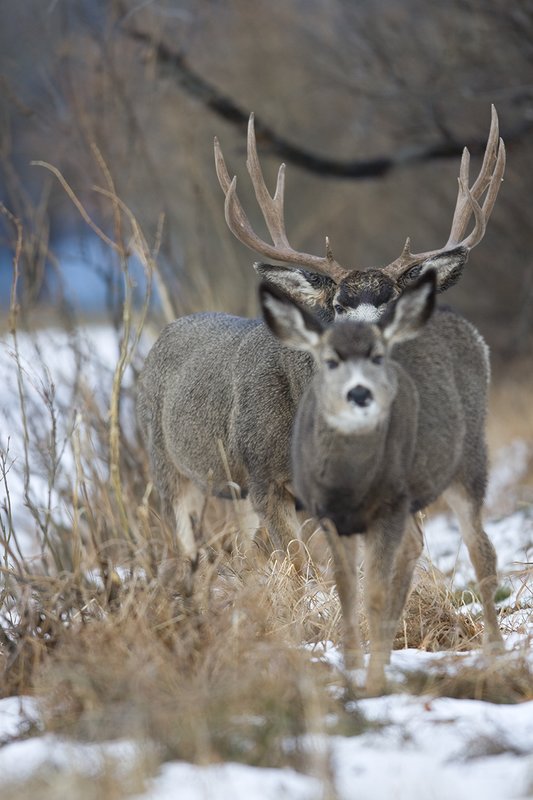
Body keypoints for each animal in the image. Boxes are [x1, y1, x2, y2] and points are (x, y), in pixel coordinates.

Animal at [136, 108, 505, 572]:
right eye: (339, 305)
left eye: (394, 302)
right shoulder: (263, 476)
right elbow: (297, 564)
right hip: (165, 462)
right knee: (186, 545)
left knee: (244, 548)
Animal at [259, 271, 504, 694]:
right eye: (330, 360)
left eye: (377, 357)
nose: (360, 393)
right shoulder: (328, 514)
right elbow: (345, 585)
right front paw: (352, 665)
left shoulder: (388, 507)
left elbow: (373, 590)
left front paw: (372, 682)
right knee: (419, 545)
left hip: (469, 461)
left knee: (481, 548)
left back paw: (495, 650)